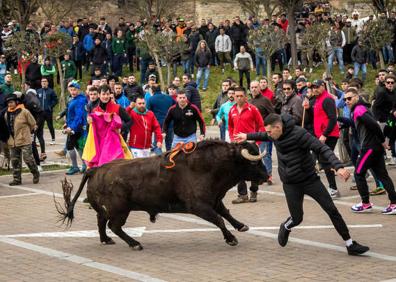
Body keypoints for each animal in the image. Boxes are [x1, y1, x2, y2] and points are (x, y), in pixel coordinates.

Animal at [57, 140, 268, 249]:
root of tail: (95, 170)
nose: (266, 176)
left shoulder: (214, 200)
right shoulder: (199, 206)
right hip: (120, 211)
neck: (206, 165)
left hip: (108, 210)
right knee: (114, 225)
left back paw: (106, 240)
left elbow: (226, 214)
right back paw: (135, 243)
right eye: (253, 161)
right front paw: (231, 239)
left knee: (101, 221)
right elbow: (219, 220)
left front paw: (241, 226)